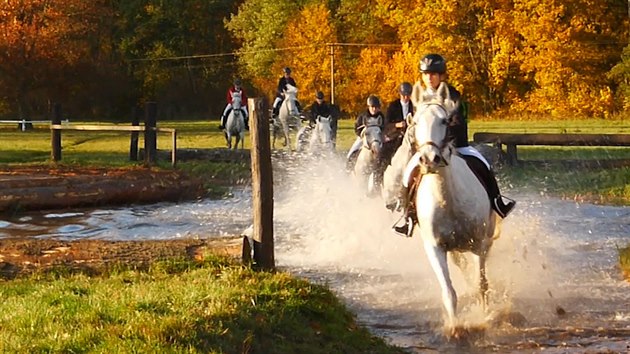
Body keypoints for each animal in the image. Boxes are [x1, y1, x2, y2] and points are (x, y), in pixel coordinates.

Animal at [404, 81, 504, 334]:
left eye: (444, 121)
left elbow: (481, 285)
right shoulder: (436, 248)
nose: (429, 159)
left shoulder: (479, 244)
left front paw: (485, 318)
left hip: (486, 239)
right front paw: (455, 327)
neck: (448, 199)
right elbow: (449, 292)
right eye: (415, 122)